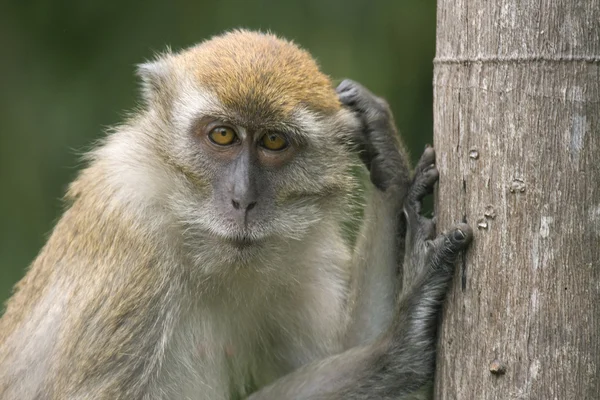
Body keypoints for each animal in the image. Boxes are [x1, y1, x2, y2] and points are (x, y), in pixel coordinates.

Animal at [0, 29, 468, 398]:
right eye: (223, 135)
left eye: (274, 141)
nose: (243, 199)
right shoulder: (133, 239)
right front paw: (398, 344)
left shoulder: (302, 250)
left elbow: (338, 347)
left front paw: (391, 170)